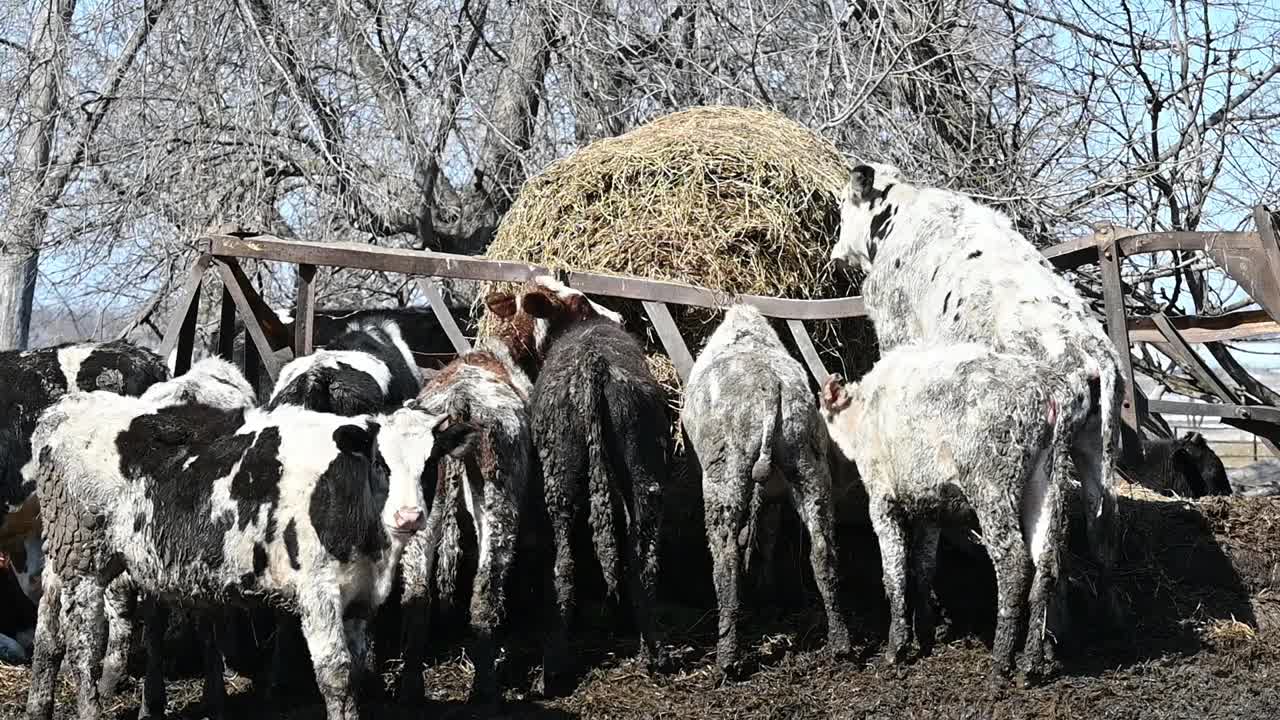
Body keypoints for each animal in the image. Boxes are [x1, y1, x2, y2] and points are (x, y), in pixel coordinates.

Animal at [24, 392, 476, 717]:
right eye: (380, 462)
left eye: (431, 462)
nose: (409, 515)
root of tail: (65, 408)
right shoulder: (318, 594)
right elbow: (336, 676)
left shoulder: (359, 598)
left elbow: (358, 672)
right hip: (83, 558)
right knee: (84, 646)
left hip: (62, 554)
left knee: (48, 630)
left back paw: (36, 707)